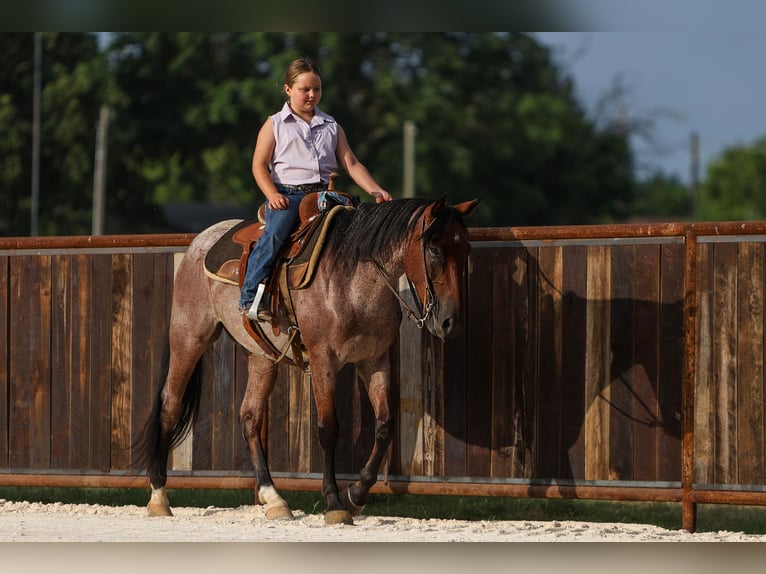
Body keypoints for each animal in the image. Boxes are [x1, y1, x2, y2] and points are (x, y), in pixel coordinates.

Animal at [135, 197, 476, 528]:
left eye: (466, 251)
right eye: (435, 249)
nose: (450, 323)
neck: (353, 282)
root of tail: (201, 240)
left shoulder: (374, 361)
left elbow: (385, 425)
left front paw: (357, 493)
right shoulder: (324, 361)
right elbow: (328, 429)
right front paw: (335, 503)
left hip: (261, 358)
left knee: (250, 417)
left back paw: (274, 499)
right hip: (189, 336)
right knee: (170, 405)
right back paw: (159, 498)